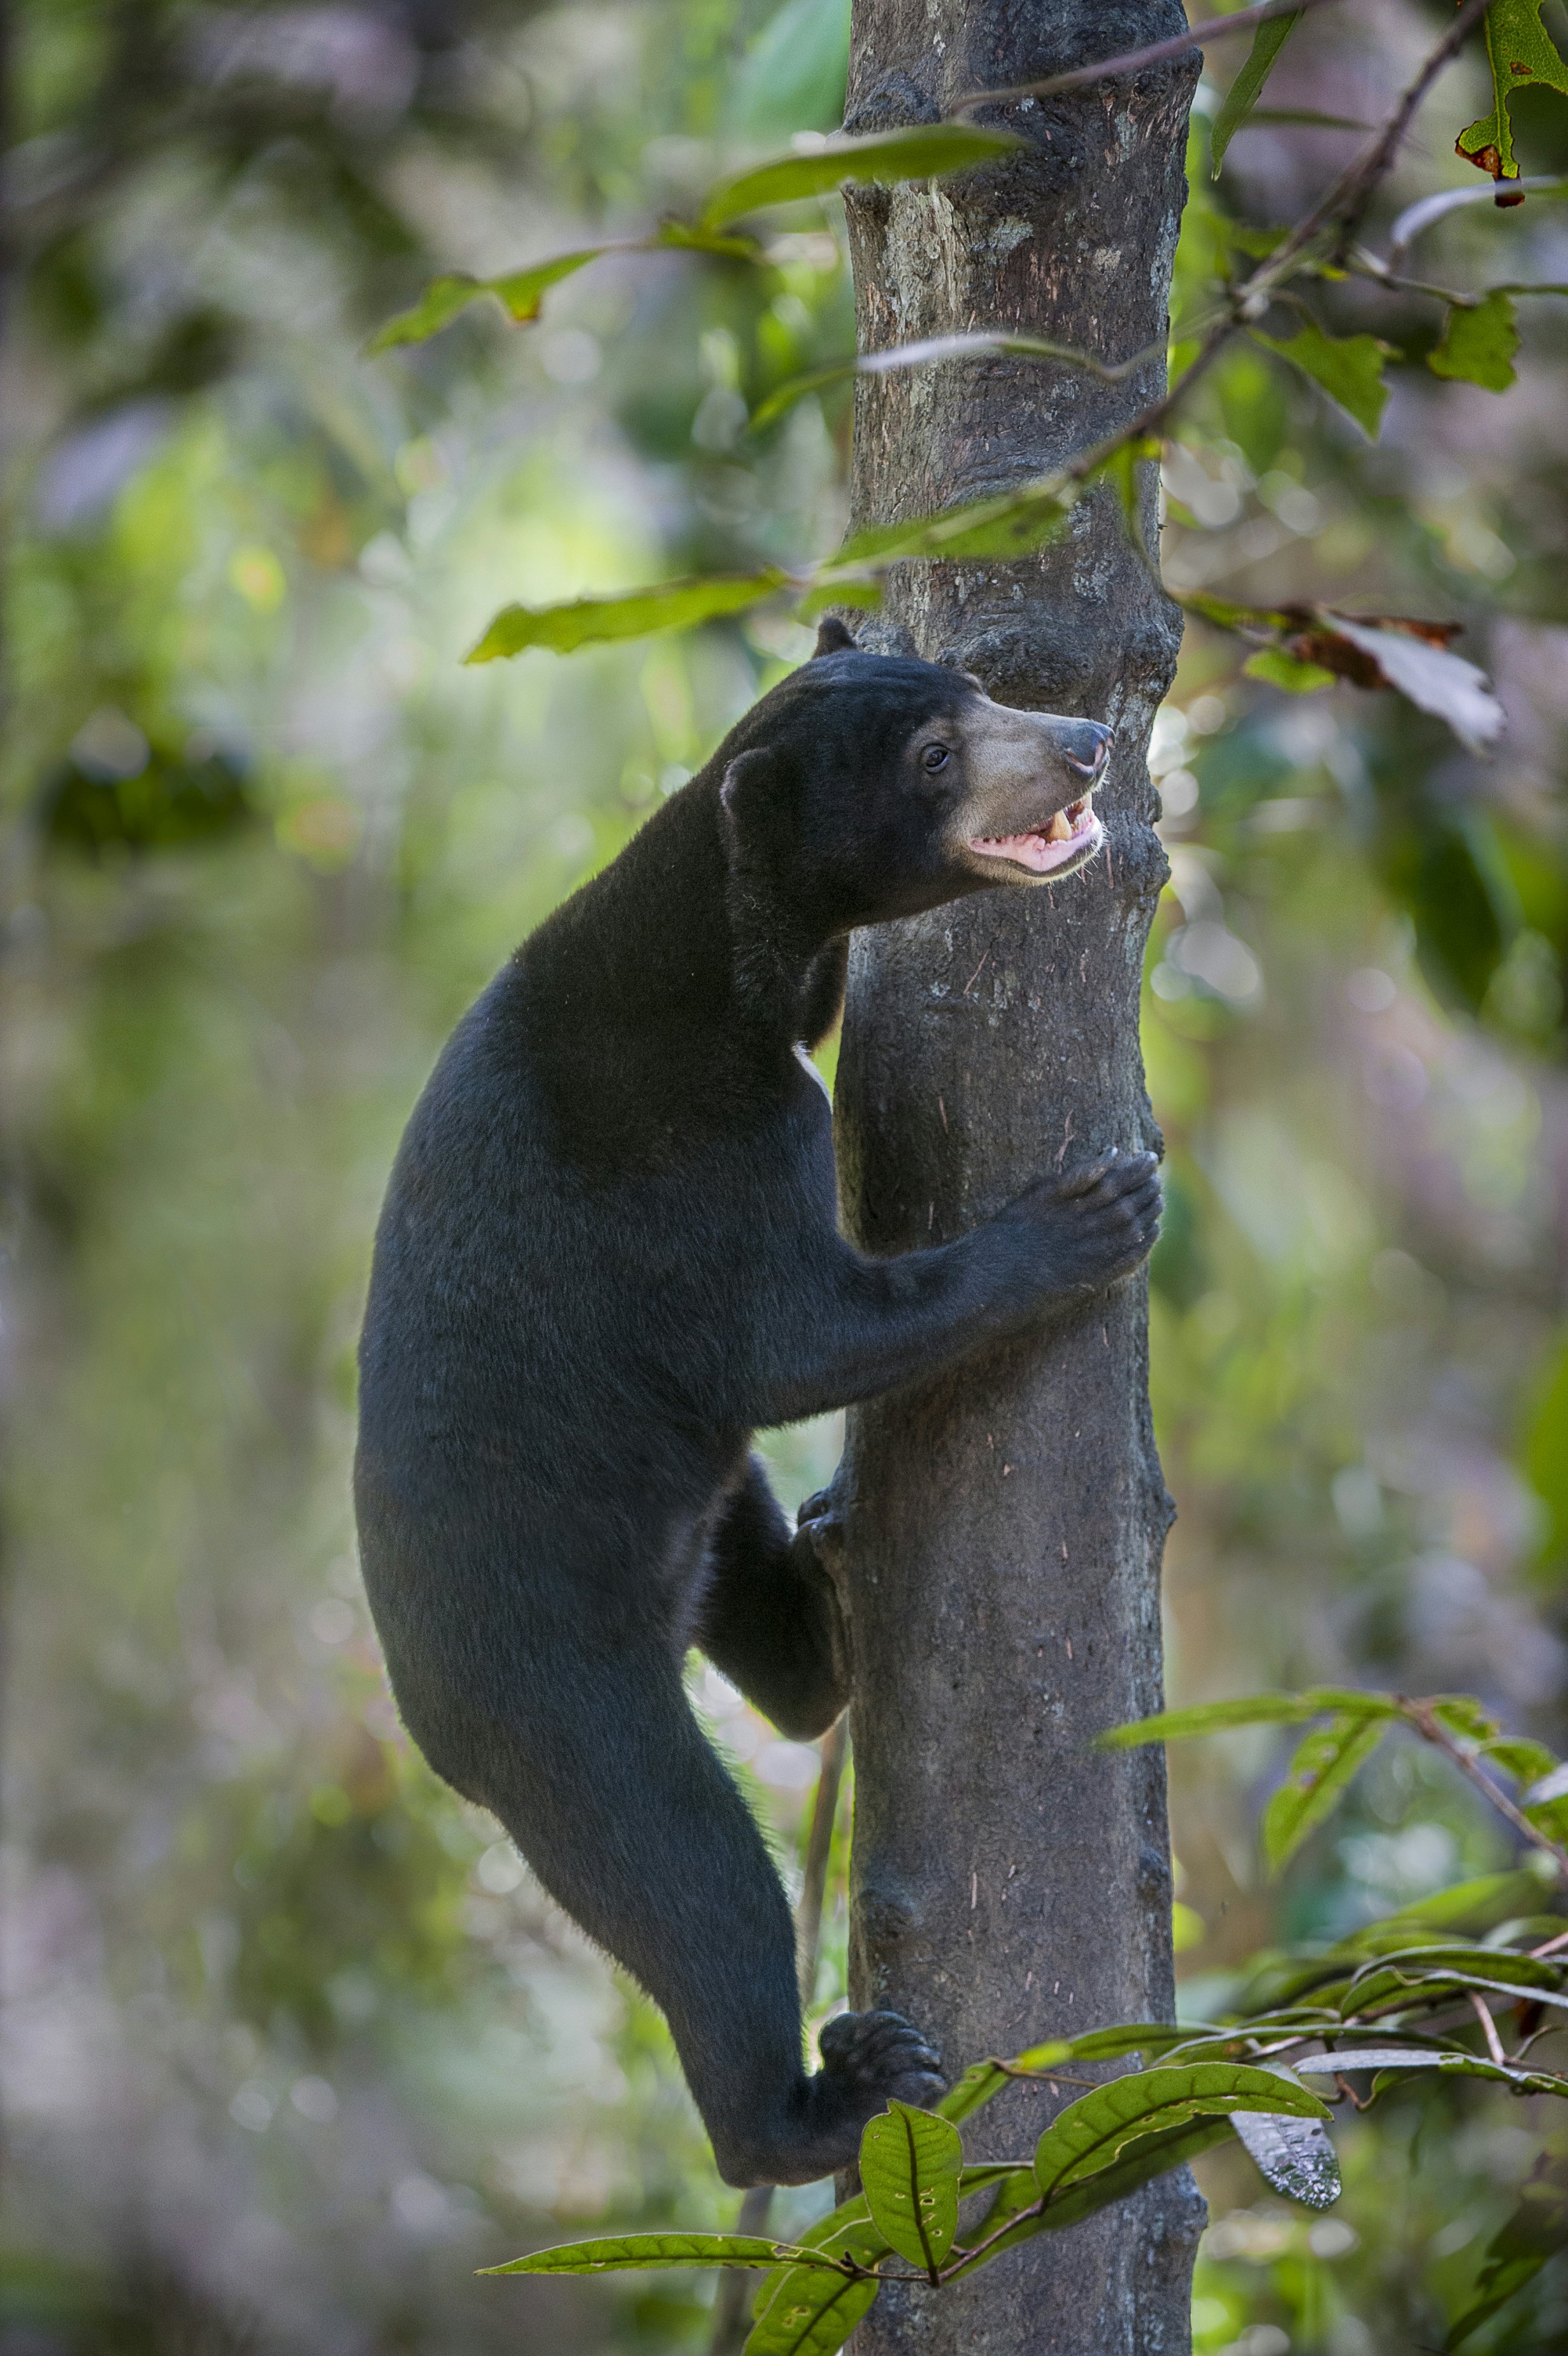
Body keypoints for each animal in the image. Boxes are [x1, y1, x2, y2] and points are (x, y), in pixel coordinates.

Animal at [353, 618, 1162, 2189]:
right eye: (933, 758)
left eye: (977, 692)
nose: (1086, 744)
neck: (716, 953)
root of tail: (430, 1729)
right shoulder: (693, 1158)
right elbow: (801, 1338)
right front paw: (1094, 1215)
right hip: (564, 1700)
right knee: (698, 1883)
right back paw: (823, 2101)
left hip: (679, 1524)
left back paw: (832, 1602)